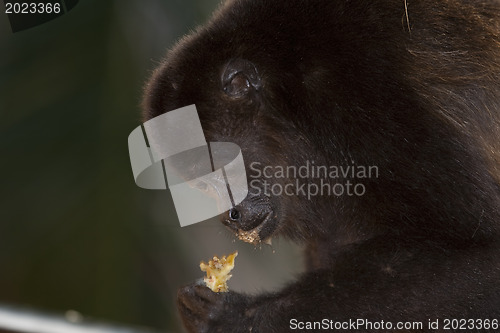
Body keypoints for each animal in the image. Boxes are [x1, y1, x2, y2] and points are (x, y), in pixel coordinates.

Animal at [141, 0, 500, 330]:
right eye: (203, 183)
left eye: (221, 165)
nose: (229, 217)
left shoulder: (366, 101)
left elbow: (484, 251)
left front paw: (237, 318)